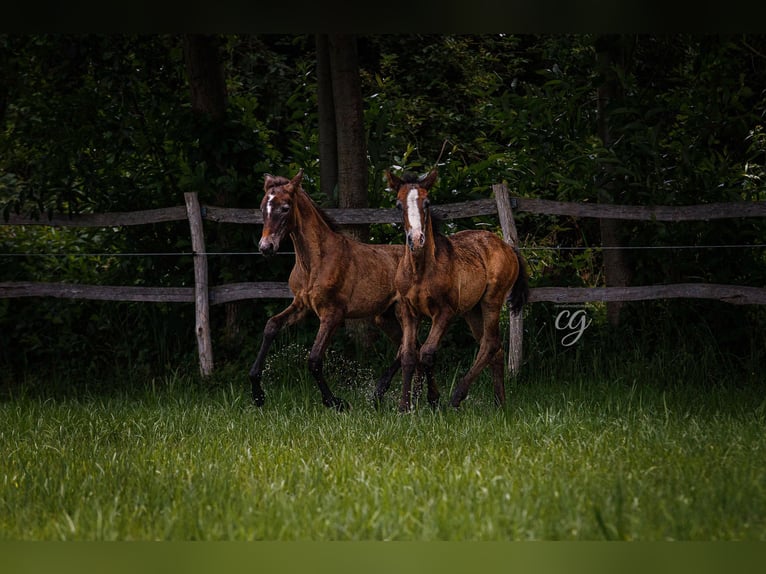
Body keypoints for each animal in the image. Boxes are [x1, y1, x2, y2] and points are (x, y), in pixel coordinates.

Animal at [252, 169, 408, 412]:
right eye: (261, 208)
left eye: (285, 208)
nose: (266, 247)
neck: (316, 261)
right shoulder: (301, 305)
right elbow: (271, 325)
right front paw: (257, 394)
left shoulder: (333, 313)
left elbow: (314, 359)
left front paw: (335, 402)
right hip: (384, 317)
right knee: (407, 347)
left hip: (403, 311)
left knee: (408, 348)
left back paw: (379, 394)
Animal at [384, 169, 528, 412]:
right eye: (397, 204)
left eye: (427, 202)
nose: (416, 239)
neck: (420, 271)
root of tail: (508, 246)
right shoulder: (409, 311)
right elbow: (409, 355)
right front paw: (405, 406)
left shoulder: (445, 313)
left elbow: (427, 353)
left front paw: (431, 398)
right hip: (472, 311)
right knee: (495, 348)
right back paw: (499, 403)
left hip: (492, 301)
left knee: (490, 344)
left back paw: (457, 397)